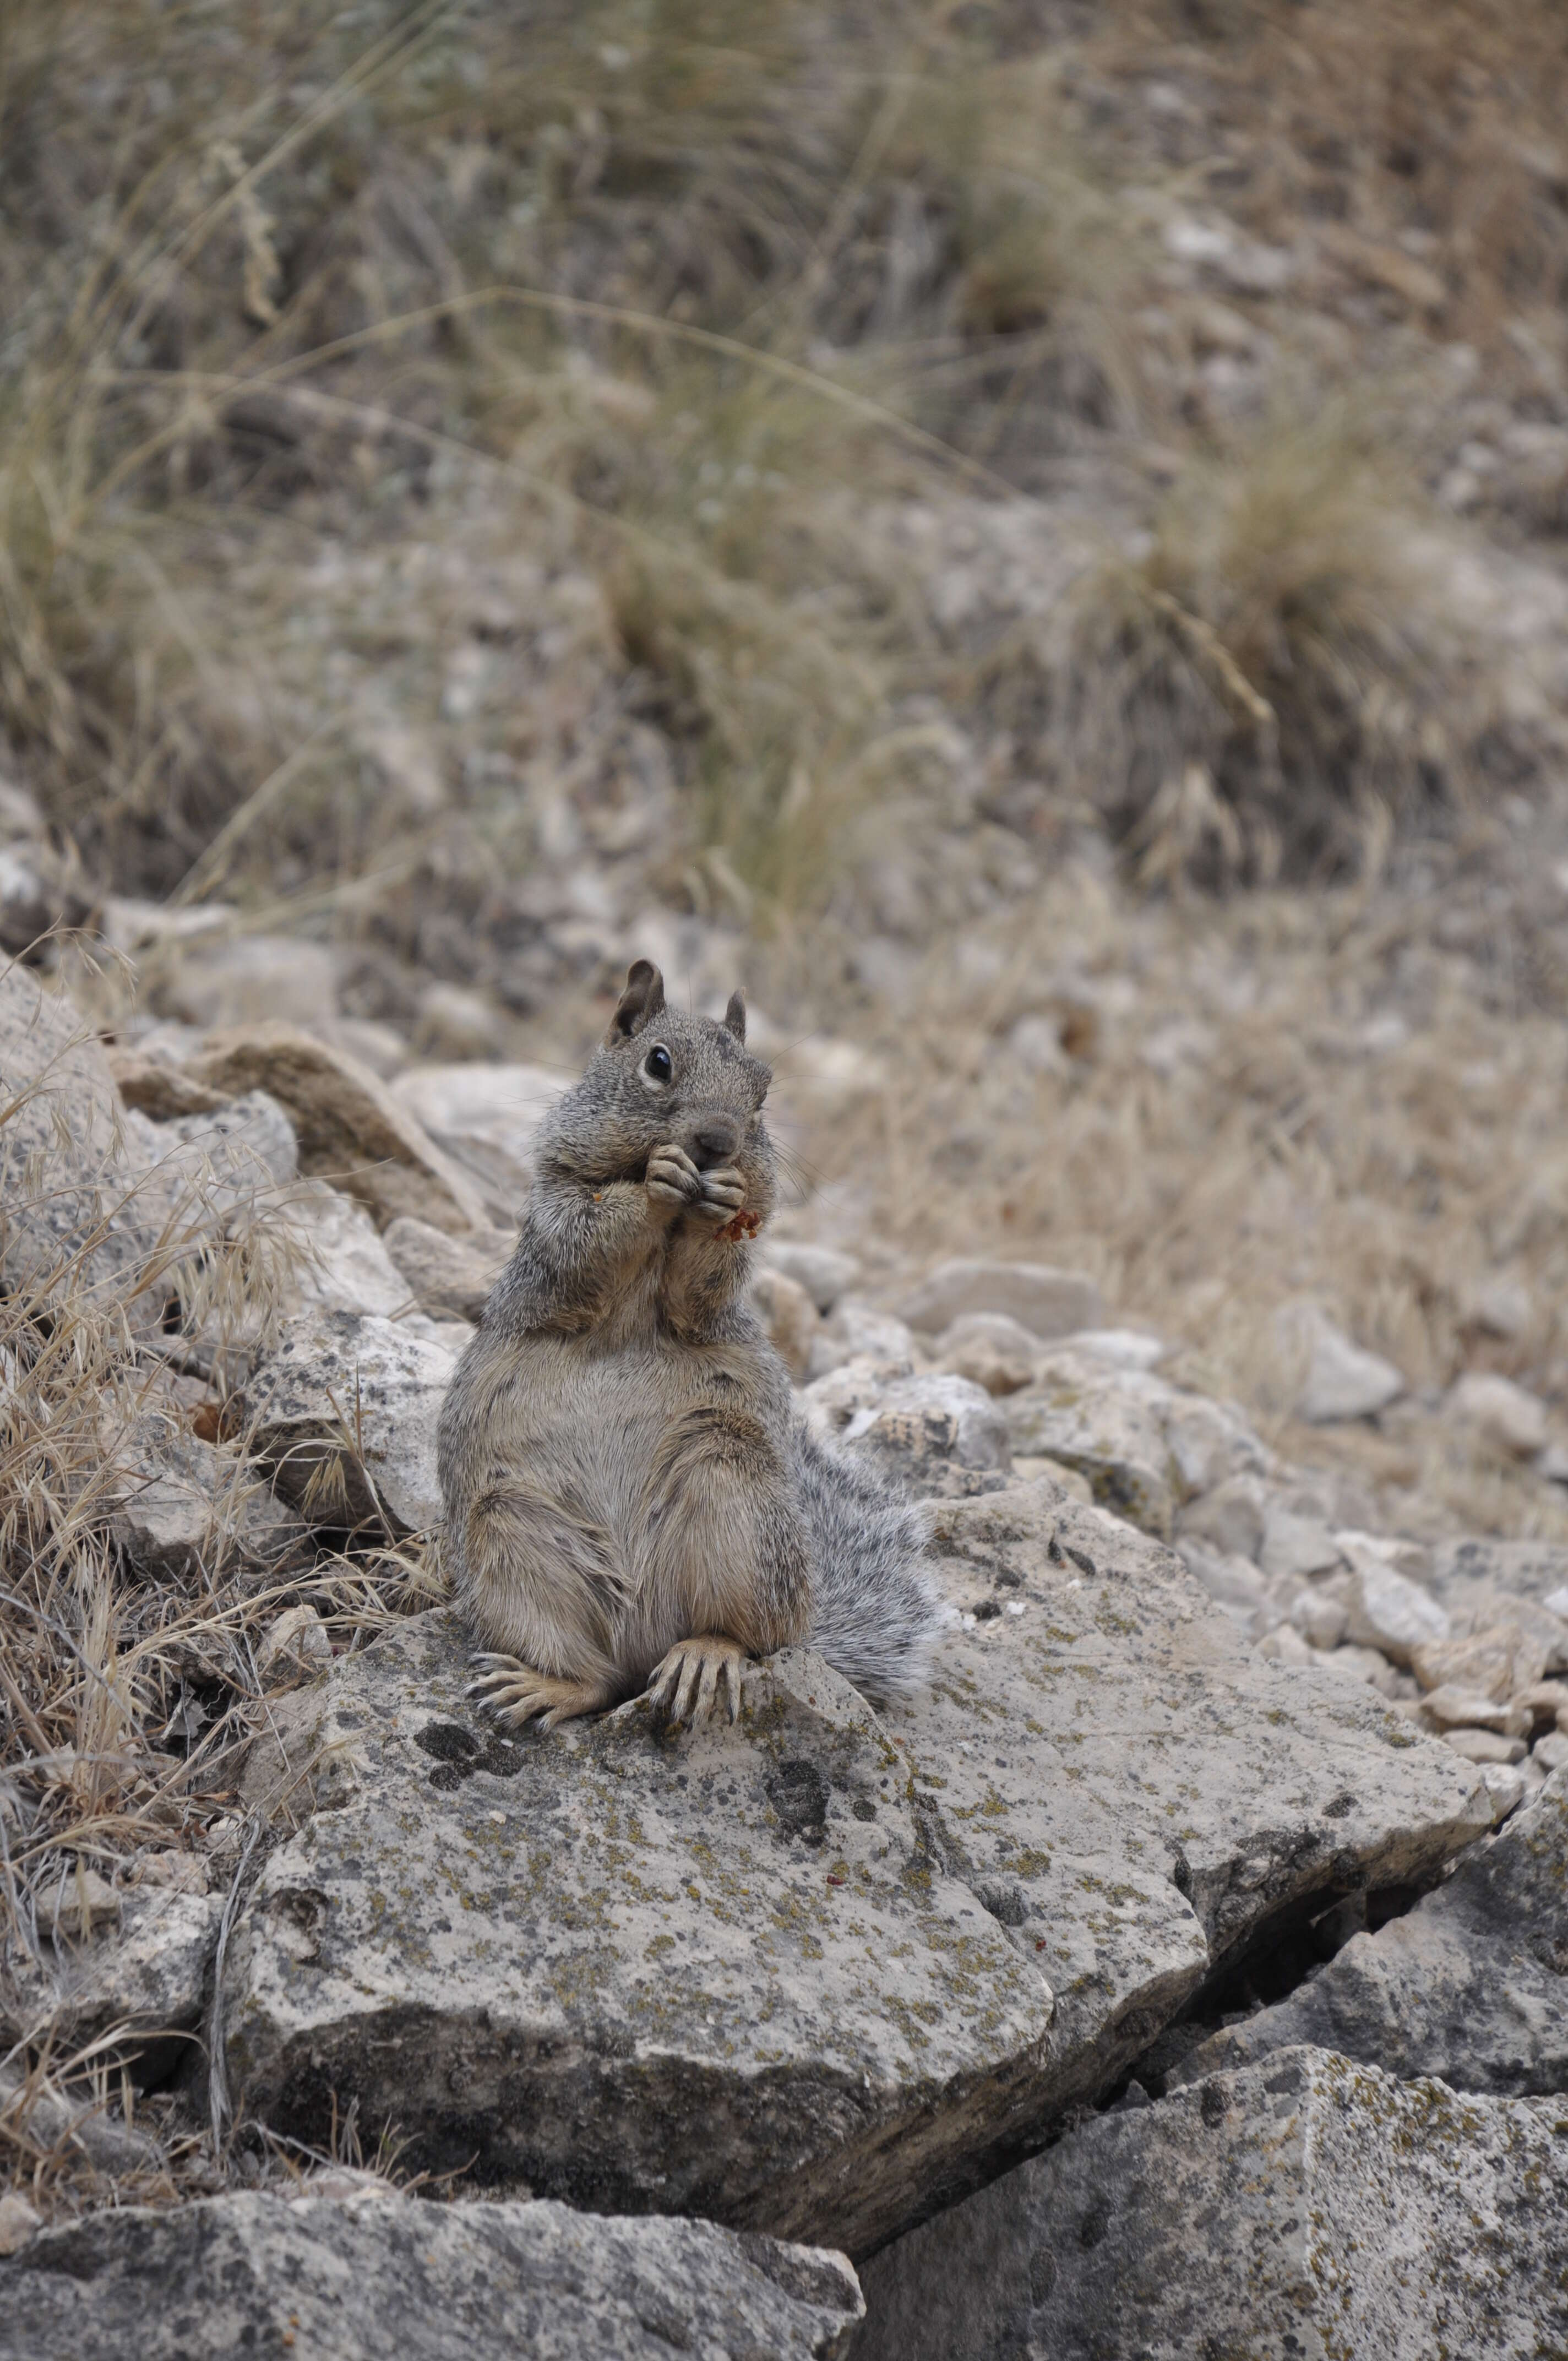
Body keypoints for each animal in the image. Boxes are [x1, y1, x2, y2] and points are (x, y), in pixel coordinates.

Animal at [432, 958, 944, 1737]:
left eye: (762, 1091)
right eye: (658, 1062)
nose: (717, 1141)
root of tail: (643, 1633)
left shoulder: (719, 1275)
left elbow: (702, 1287)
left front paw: (717, 1197)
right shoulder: (555, 1219)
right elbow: (587, 1240)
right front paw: (655, 1184)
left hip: (731, 1491)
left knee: (743, 1638)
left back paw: (705, 1655)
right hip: (510, 1540)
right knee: (598, 1679)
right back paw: (547, 1687)